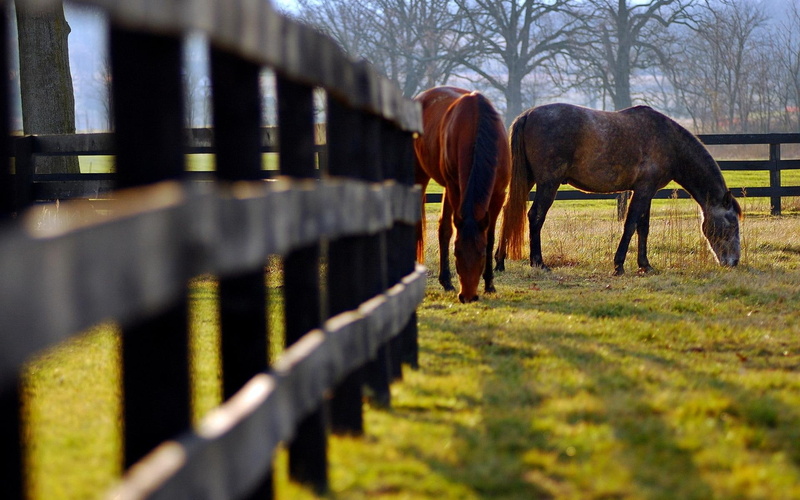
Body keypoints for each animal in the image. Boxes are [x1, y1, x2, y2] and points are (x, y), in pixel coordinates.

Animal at [414, 86, 511, 303]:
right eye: (456, 252)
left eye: (481, 253)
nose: (467, 296)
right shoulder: (455, 188)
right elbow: (450, 231)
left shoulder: (498, 195)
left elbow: (490, 236)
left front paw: (490, 284)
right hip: (422, 176)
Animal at [495, 103, 742, 276]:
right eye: (731, 223)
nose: (734, 262)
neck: (668, 140)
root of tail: (528, 114)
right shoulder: (643, 190)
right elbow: (631, 225)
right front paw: (619, 265)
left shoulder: (647, 191)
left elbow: (643, 227)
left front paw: (645, 265)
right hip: (548, 183)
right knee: (535, 216)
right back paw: (538, 262)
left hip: (527, 179)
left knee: (509, 212)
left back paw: (499, 261)